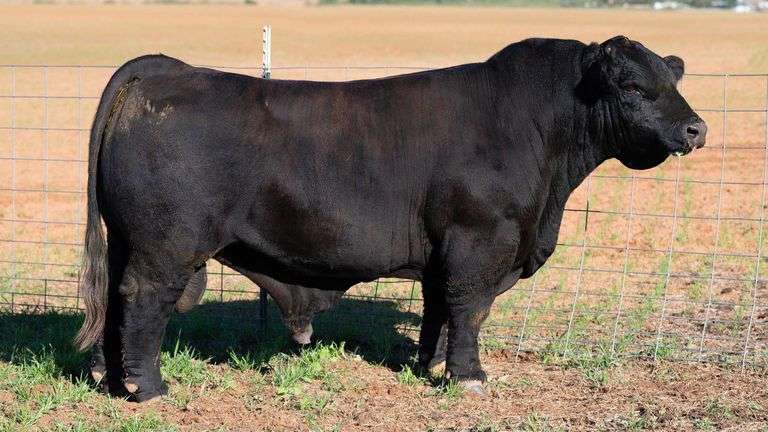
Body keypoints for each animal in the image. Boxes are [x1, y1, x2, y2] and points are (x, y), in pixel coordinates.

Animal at [75, 35, 706, 402]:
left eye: (673, 81)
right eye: (632, 86)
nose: (695, 128)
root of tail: (168, 69)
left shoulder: (445, 250)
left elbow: (439, 309)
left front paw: (432, 365)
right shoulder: (481, 242)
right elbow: (470, 309)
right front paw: (469, 378)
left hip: (128, 239)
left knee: (115, 300)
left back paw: (111, 379)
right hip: (166, 245)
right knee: (144, 300)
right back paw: (149, 387)